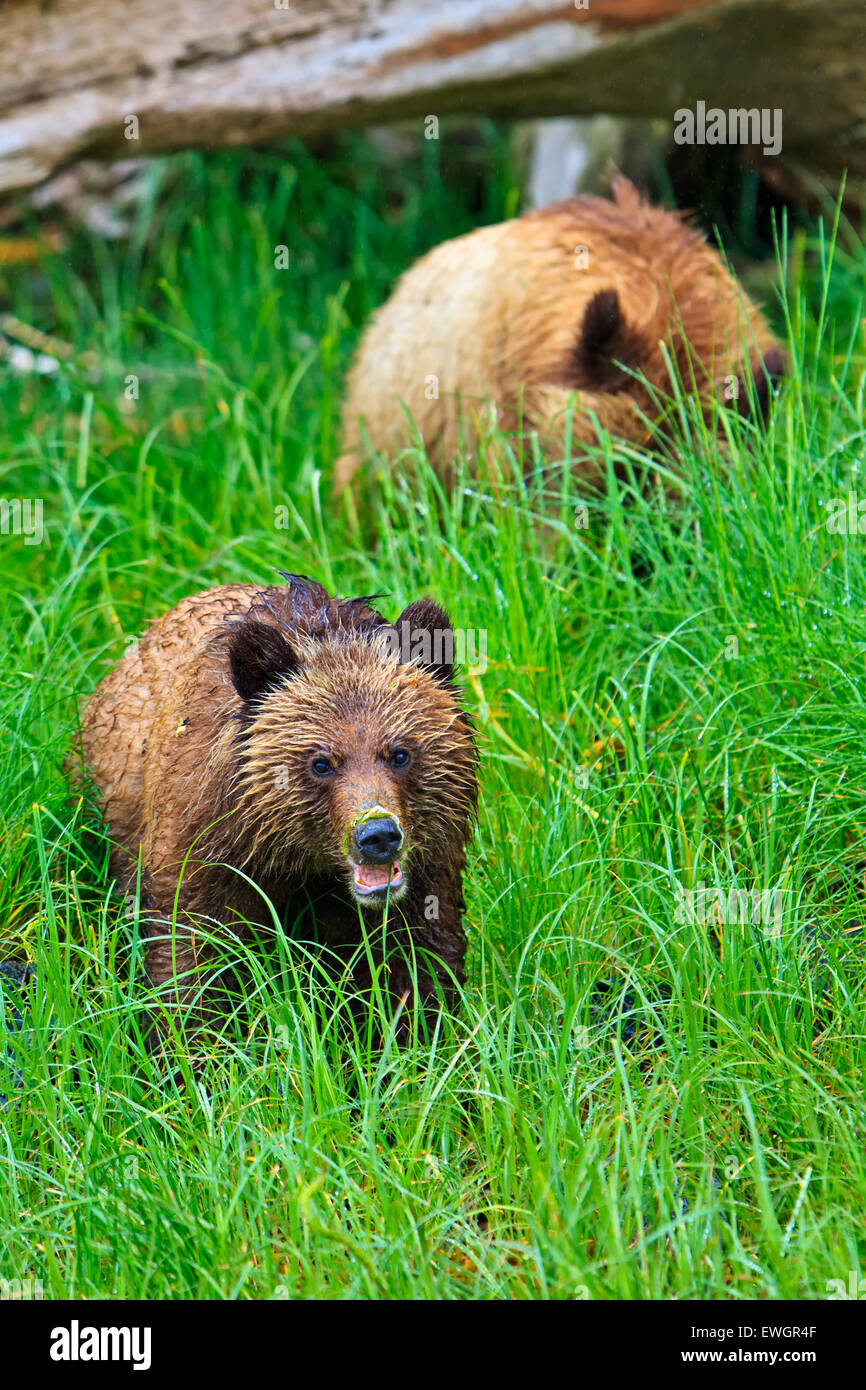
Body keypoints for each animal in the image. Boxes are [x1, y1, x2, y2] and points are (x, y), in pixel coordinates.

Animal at [77, 569, 478, 1039]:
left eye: (400, 753)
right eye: (321, 763)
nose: (377, 835)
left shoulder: (429, 864)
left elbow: (415, 958)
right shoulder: (205, 837)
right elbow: (193, 949)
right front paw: (192, 1042)